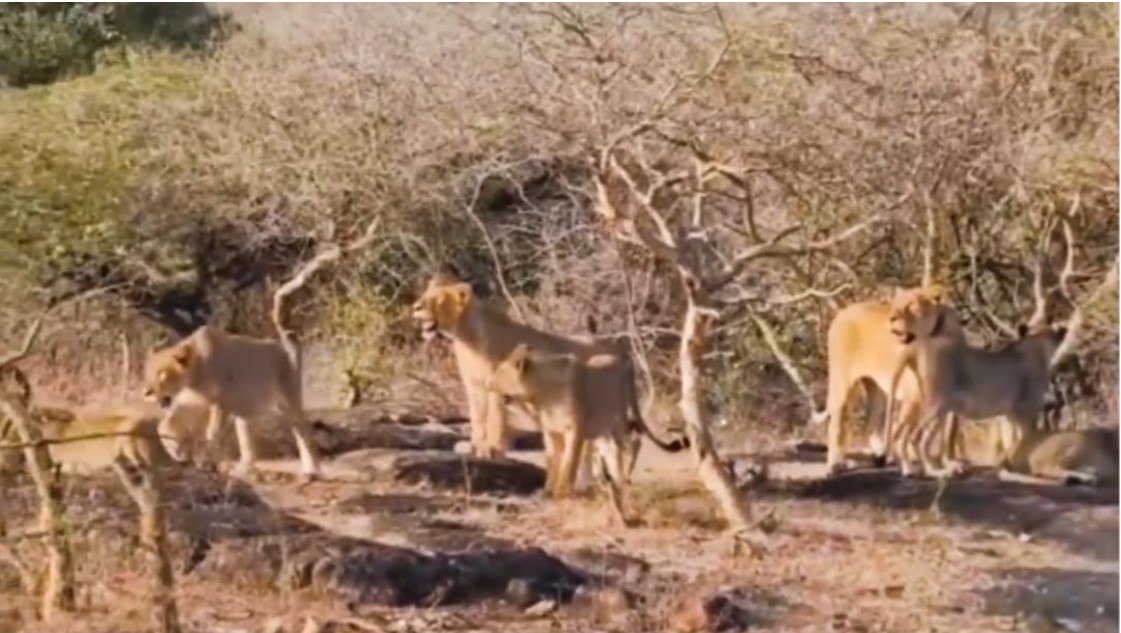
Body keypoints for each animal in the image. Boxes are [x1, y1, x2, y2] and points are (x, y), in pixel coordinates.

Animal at [142, 325, 321, 480]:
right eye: (147, 371)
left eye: (162, 374)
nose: (147, 392)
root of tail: (283, 348)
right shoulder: (198, 402)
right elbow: (168, 426)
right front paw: (179, 451)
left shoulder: (221, 402)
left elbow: (212, 433)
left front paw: (207, 463)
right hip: (244, 413)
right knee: (247, 444)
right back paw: (243, 470)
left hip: (289, 399)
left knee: (303, 430)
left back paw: (311, 471)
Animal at [410, 273, 653, 460]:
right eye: (424, 296)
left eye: (438, 300)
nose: (415, 306)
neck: (466, 338)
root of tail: (619, 348)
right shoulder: (475, 388)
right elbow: (478, 419)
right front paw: (475, 448)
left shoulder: (496, 386)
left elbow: (493, 420)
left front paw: (491, 449)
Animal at [486, 342, 689, 526]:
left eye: (500, 372)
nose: (489, 386)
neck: (542, 396)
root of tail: (625, 362)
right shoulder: (551, 432)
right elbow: (553, 462)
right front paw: (549, 489)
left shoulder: (575, 431)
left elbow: (569, 464)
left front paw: (562, 492)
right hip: (601, 432)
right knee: (604, 454)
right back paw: (602, 481)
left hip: (619, 420)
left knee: (629, 446)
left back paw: (620, 480)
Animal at [810, 284, 949, 473]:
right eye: (895, 304)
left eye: (912, 305)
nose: (892, 319)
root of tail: (842, 312)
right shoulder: (913, 397)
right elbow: (908, 432)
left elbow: (939, 433)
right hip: (844, 382)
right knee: (837, 423)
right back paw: (836, 463)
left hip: (877, 389)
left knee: (869, 424)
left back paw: (878, 455)